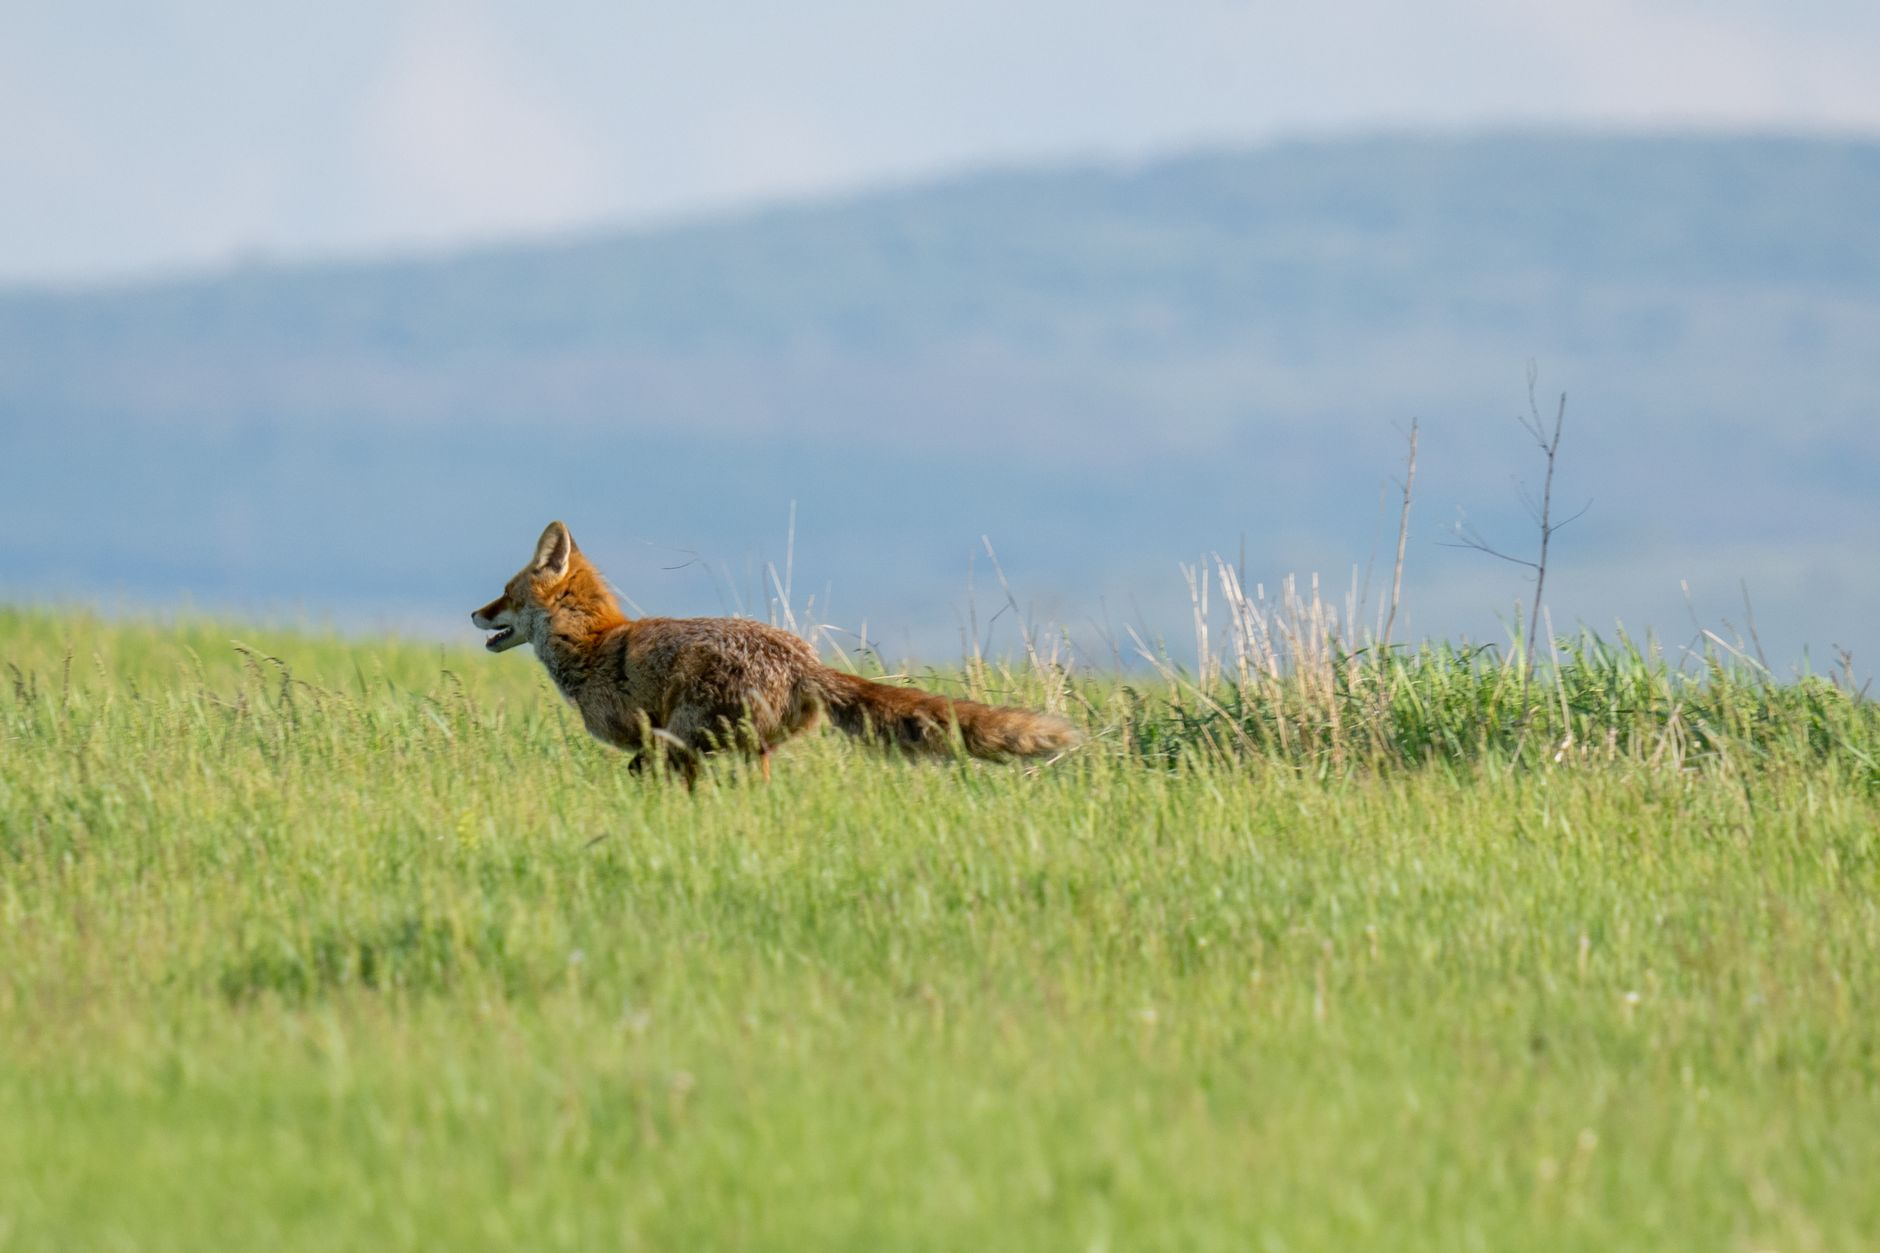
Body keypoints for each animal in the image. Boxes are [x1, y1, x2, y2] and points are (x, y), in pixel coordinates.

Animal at [471, 521, 1079, 784]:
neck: (592, 647)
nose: (475, 614)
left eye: (504, 593)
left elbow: (646, 774)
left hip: (701, 732)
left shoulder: (657, 740)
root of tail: (805, 661)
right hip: (748, 745)